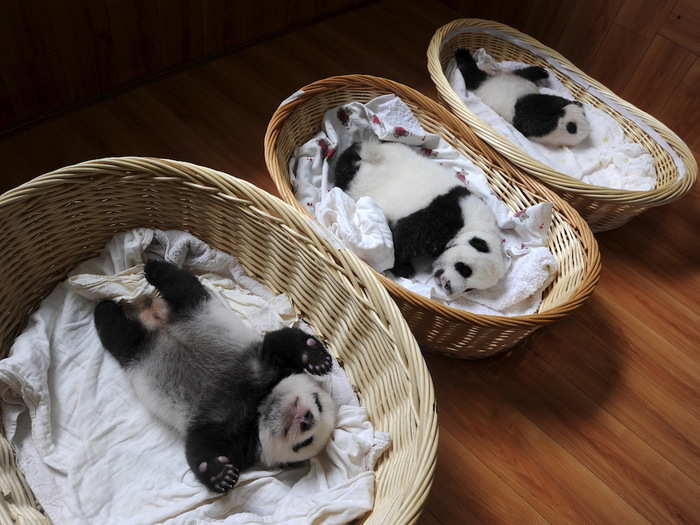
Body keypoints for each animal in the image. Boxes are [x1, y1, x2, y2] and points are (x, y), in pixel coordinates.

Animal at [94, 260, 334, 494]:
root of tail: (154, 319)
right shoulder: (262, 366)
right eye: (318, 402)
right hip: (195, 308)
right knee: (181, 283)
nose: (307, 418)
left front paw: (220, 474)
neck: (259, 403)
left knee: (119, 334)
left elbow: (201, 444)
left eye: (305, 443)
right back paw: (149, 270)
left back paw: (107, 306)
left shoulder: (235, 433)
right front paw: (317, 358)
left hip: (138, 346)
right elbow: (280, 341)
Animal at [334, 140, 506, 294]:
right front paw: (402, 268)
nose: (448, 286)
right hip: (359, 176)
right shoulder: (443, 215)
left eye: (470, 289)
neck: (475, 225)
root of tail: (365, 148)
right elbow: (407, 237)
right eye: (464, 269)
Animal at [454, 47, 592, 147]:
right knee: (524, 73)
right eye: (584, 114)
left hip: (485, 84)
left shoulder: (532, 117)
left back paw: (462, 54)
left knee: (472, 75)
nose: (579, 104)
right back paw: (541, 72)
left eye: (573, 127)